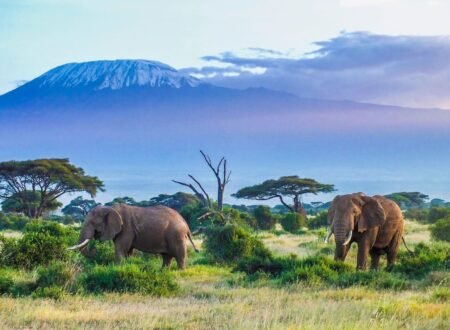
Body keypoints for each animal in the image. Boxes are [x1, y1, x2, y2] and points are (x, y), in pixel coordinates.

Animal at [67, 202, 199, 270]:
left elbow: (121, 248)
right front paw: (125, 266)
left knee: (179, 255)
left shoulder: (126, 228)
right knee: (166, 256)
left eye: (93, 223)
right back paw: (163, 272)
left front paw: (117, 269)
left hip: (177, 234)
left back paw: (180, 272)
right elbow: (128, 251)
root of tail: (186, 223)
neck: (110, 208)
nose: (96, 250)